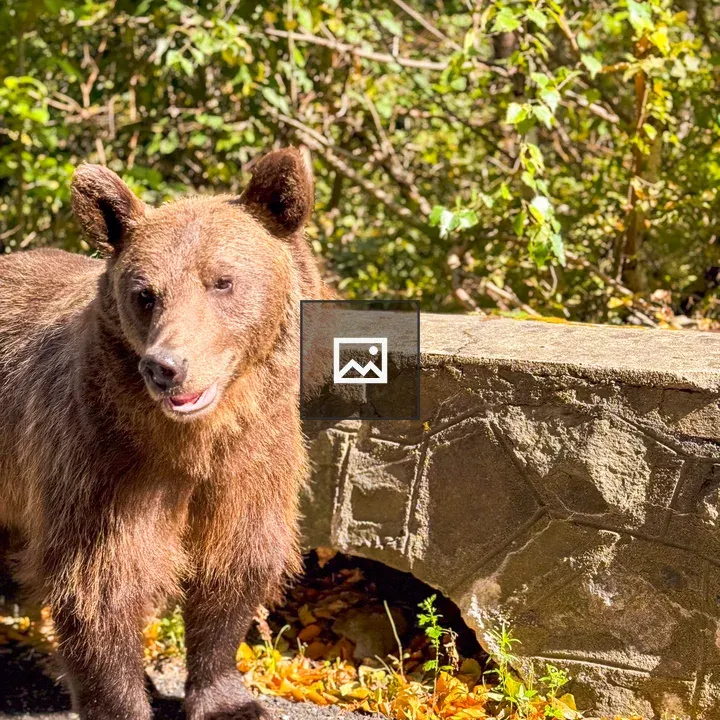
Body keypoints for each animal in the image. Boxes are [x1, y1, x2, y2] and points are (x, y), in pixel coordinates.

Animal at [0, 147, 328, 719]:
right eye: (145, 293)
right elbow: (102, 584)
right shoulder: (104, 461)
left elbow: (235, 565)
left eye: (222, 281)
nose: (166, 366)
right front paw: (123, 702)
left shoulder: (253, 458)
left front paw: (228, 700)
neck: (194, 441)